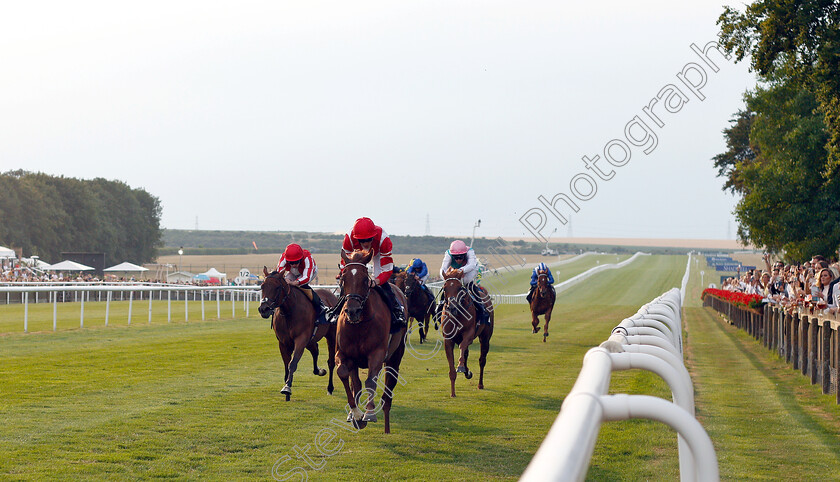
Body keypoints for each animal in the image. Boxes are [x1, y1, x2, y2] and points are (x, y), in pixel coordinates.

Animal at [258, 270, 336, 402]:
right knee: (315, 350)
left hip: (331, 336)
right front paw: (286, 388)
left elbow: (292, 363)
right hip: (310, 340)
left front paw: (287, 389)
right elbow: (286, 364)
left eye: (277, 287)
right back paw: (319, 371)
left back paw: (330, 388)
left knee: (331, 362)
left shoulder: (301, 340)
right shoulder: (283, 343)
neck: (289, 311)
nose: (264, 309)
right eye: (262, 286)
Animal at [334, 249, 406, 434]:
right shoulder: (344, 353)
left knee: (389, 383)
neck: (359, 324)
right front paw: (356, 414)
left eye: (365, 279)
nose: (352, 311)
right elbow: (345, 375)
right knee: (356, 382)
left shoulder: (377, 353)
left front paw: (369, 413)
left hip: (395, 355)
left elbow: (370, 381)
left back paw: (386, 424)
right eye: (343, 278)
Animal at [440, 270, 492, 398]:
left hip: (485, 337)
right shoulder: (448, 339)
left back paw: (480, 384)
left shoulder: (469, 334)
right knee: (466, 353)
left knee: (482, 360)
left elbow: (462, 346)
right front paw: (453, 393)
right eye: (445, 288)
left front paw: (460, 366)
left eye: (459, 287)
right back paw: (467, 372)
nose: (452, 307)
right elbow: (452, 369)